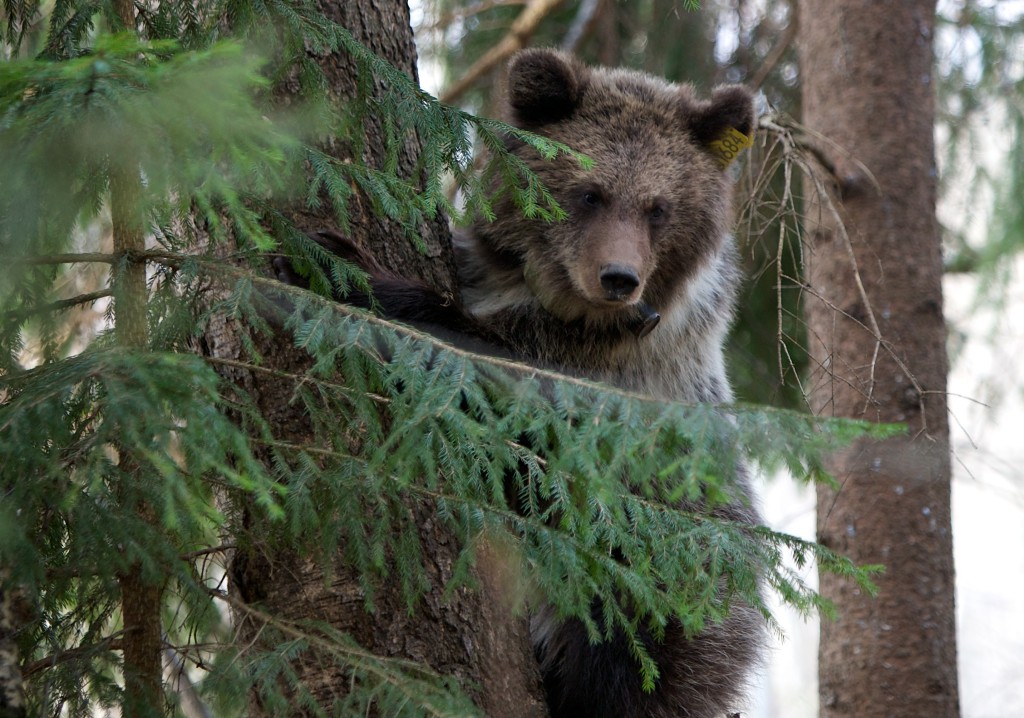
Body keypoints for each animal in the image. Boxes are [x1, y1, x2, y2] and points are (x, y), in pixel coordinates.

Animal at [286, 47, 761, 716]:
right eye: (589, 193)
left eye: (659, 207)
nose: (619, 278)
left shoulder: (598, 372)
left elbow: (476, 361)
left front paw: (345, 268)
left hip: (660, 563)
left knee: (623, 653)